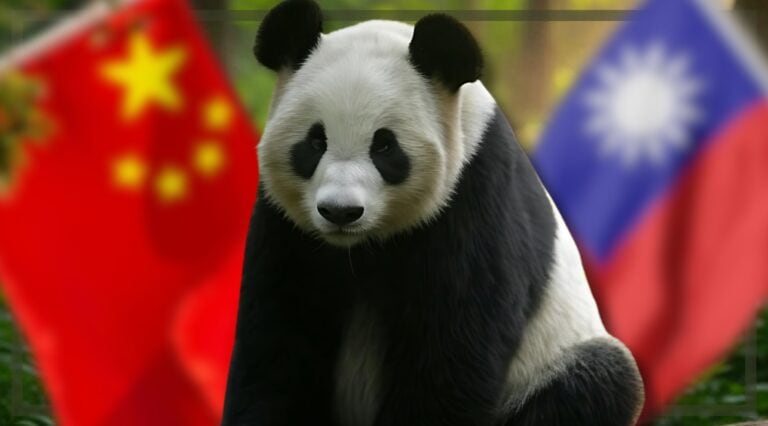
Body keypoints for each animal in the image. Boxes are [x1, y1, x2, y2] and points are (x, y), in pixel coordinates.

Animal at [222, 1, 644, 425]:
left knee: (599, 379)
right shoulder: (285, 225)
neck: (361, 248)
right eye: (314, 142)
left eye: (385, 146)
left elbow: (454, 342)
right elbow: (279, 339)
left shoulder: (474, 193)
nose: (341, 212)